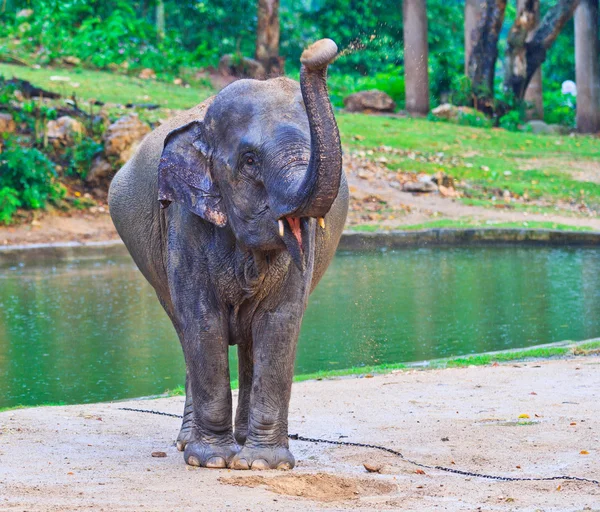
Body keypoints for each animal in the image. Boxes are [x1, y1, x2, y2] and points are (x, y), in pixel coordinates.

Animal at [109, 39, 346, 472]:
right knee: (184, 329)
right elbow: (202, 319)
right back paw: (190, 443)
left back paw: (241, 441)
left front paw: (264, 465)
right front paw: (212, 461)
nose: (317, 50)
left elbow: (280, 320)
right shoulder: (184, 219)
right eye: (250, 160)